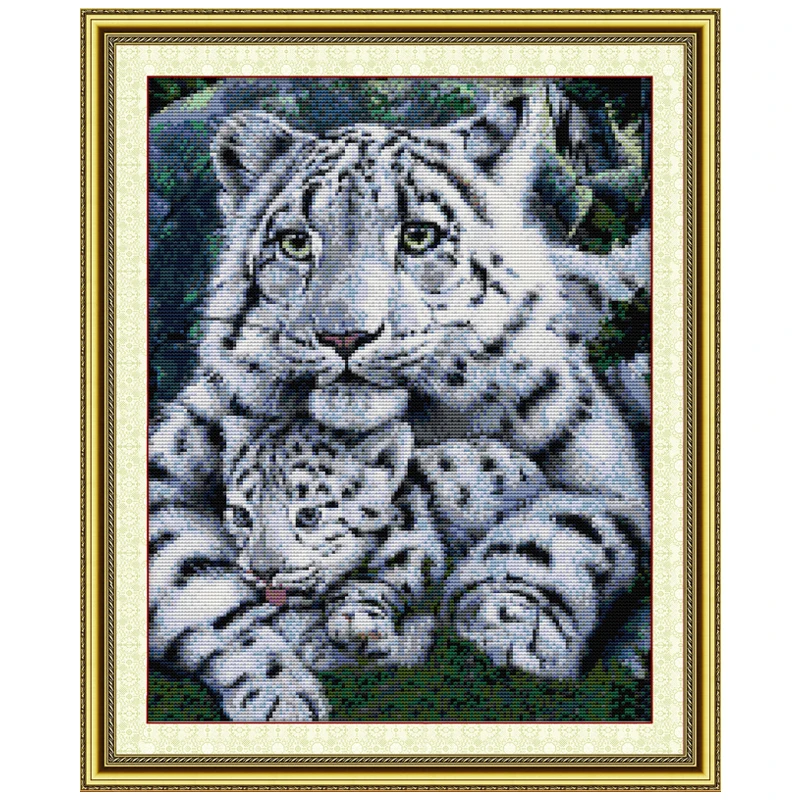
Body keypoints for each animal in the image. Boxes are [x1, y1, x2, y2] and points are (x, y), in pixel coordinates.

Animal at [148, 85, 651, 721]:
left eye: (419, 235)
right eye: (295, 242)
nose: (344, 335)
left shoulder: (608, 480)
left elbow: (558, 532)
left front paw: (511, 628)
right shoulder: (166, 481)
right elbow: (199, 587)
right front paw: (280, 689)